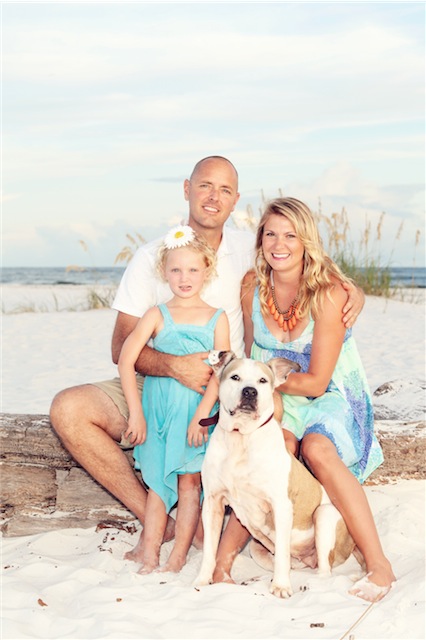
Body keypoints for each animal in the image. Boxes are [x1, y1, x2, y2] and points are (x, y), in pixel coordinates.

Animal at [195, 352, 362, 596]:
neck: (241, 438)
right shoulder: (212, 502)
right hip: (257, 548)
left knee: (324, 571)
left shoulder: (281, 506)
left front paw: (281, 586)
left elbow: (282, 552)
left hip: (325, 514)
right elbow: (209, 550)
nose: (250, 391)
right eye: (235, 377)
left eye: (263, 381)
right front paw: (202, 579)